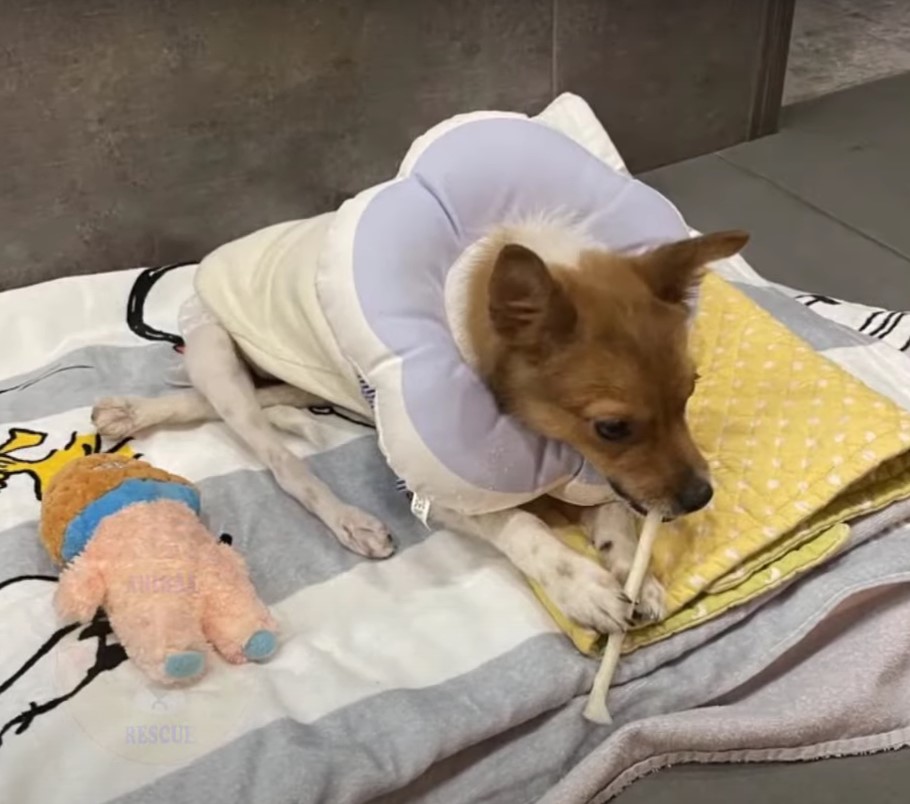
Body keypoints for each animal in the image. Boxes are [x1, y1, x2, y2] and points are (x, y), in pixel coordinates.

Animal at [92, 218, 752, 636]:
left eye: (690, 392)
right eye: (612, 427)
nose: (701, 498)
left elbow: (612, 509)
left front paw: (632, 569)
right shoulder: (433, 487)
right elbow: (523, 527)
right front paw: (584, 586)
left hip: (304, 379)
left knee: (238, 398)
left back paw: (134, 411)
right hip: (215, 350)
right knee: (277, 456)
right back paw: (351, 522)